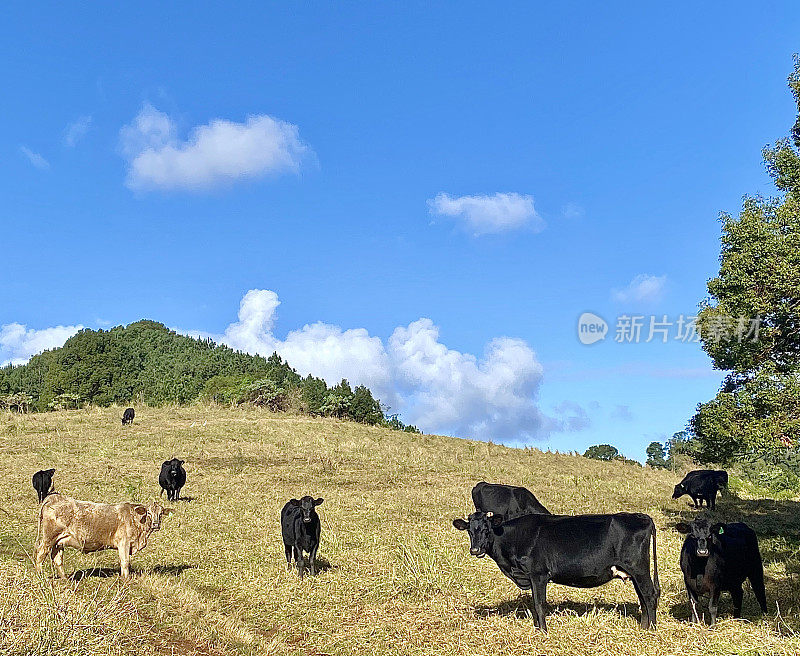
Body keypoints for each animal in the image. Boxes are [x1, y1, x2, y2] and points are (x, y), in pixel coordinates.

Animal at [34, 492, 173, 580]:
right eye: (148, 513)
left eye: (161, 513)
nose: (156, 524)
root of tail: (55, 498)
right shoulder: (124, 543)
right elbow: (125, 562)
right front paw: (126, 579)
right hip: (48, 538)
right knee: (40, 554)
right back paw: (40, 576)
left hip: (59, 541)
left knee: (57, 558)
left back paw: (64, 578)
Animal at [454, 508, 660, 632]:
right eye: (469, 530)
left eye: (487, 529)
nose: (475, 550)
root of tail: (641, 516)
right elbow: (534, 605)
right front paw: (537, 628)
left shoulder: (538, 575)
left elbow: (539, 604)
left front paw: (543, 632)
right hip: (634, 573)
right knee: (643, 598)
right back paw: (643, 628)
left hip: (639, 569)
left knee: (649, 595)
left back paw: (652, 630)